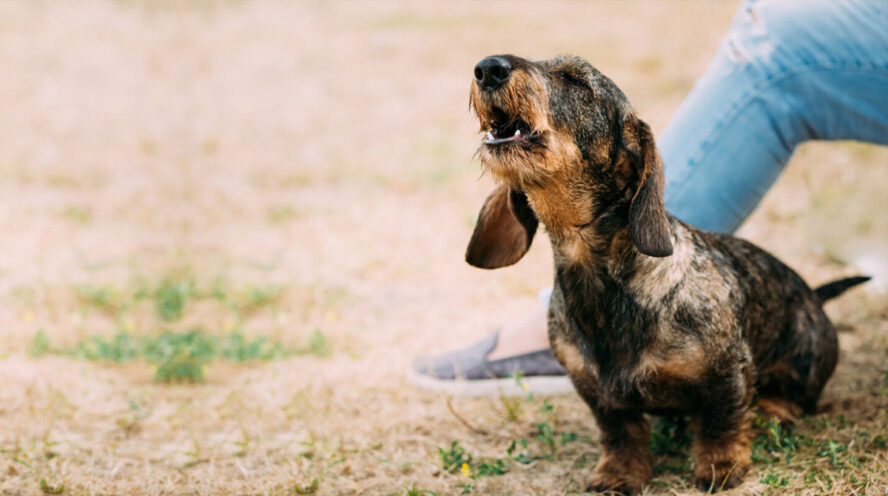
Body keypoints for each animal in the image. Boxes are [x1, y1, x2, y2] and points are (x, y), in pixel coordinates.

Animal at [464, 54, 868, 492]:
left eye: (577, 81)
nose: (488, 67)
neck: (603, 283)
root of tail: (814, 295)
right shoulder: (595, 391)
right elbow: (620, 433)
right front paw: (620, 473)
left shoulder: (727, 370)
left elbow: (721, 421)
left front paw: (720, 466)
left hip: (803, 357)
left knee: (794, 397)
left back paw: (773, 410)